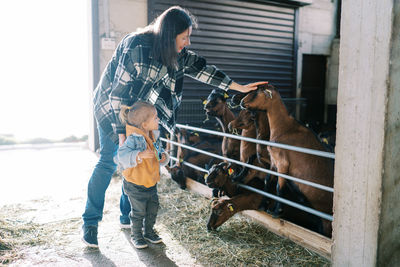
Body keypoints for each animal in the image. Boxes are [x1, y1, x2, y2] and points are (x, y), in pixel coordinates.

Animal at [241, 85, 334, 238]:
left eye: (258, 92)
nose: (241, 102)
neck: (284, 127)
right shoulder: (273, 162)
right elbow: (267, 181)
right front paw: (263, 205)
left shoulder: (282, 163)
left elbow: (279, 187)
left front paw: (276, 211)